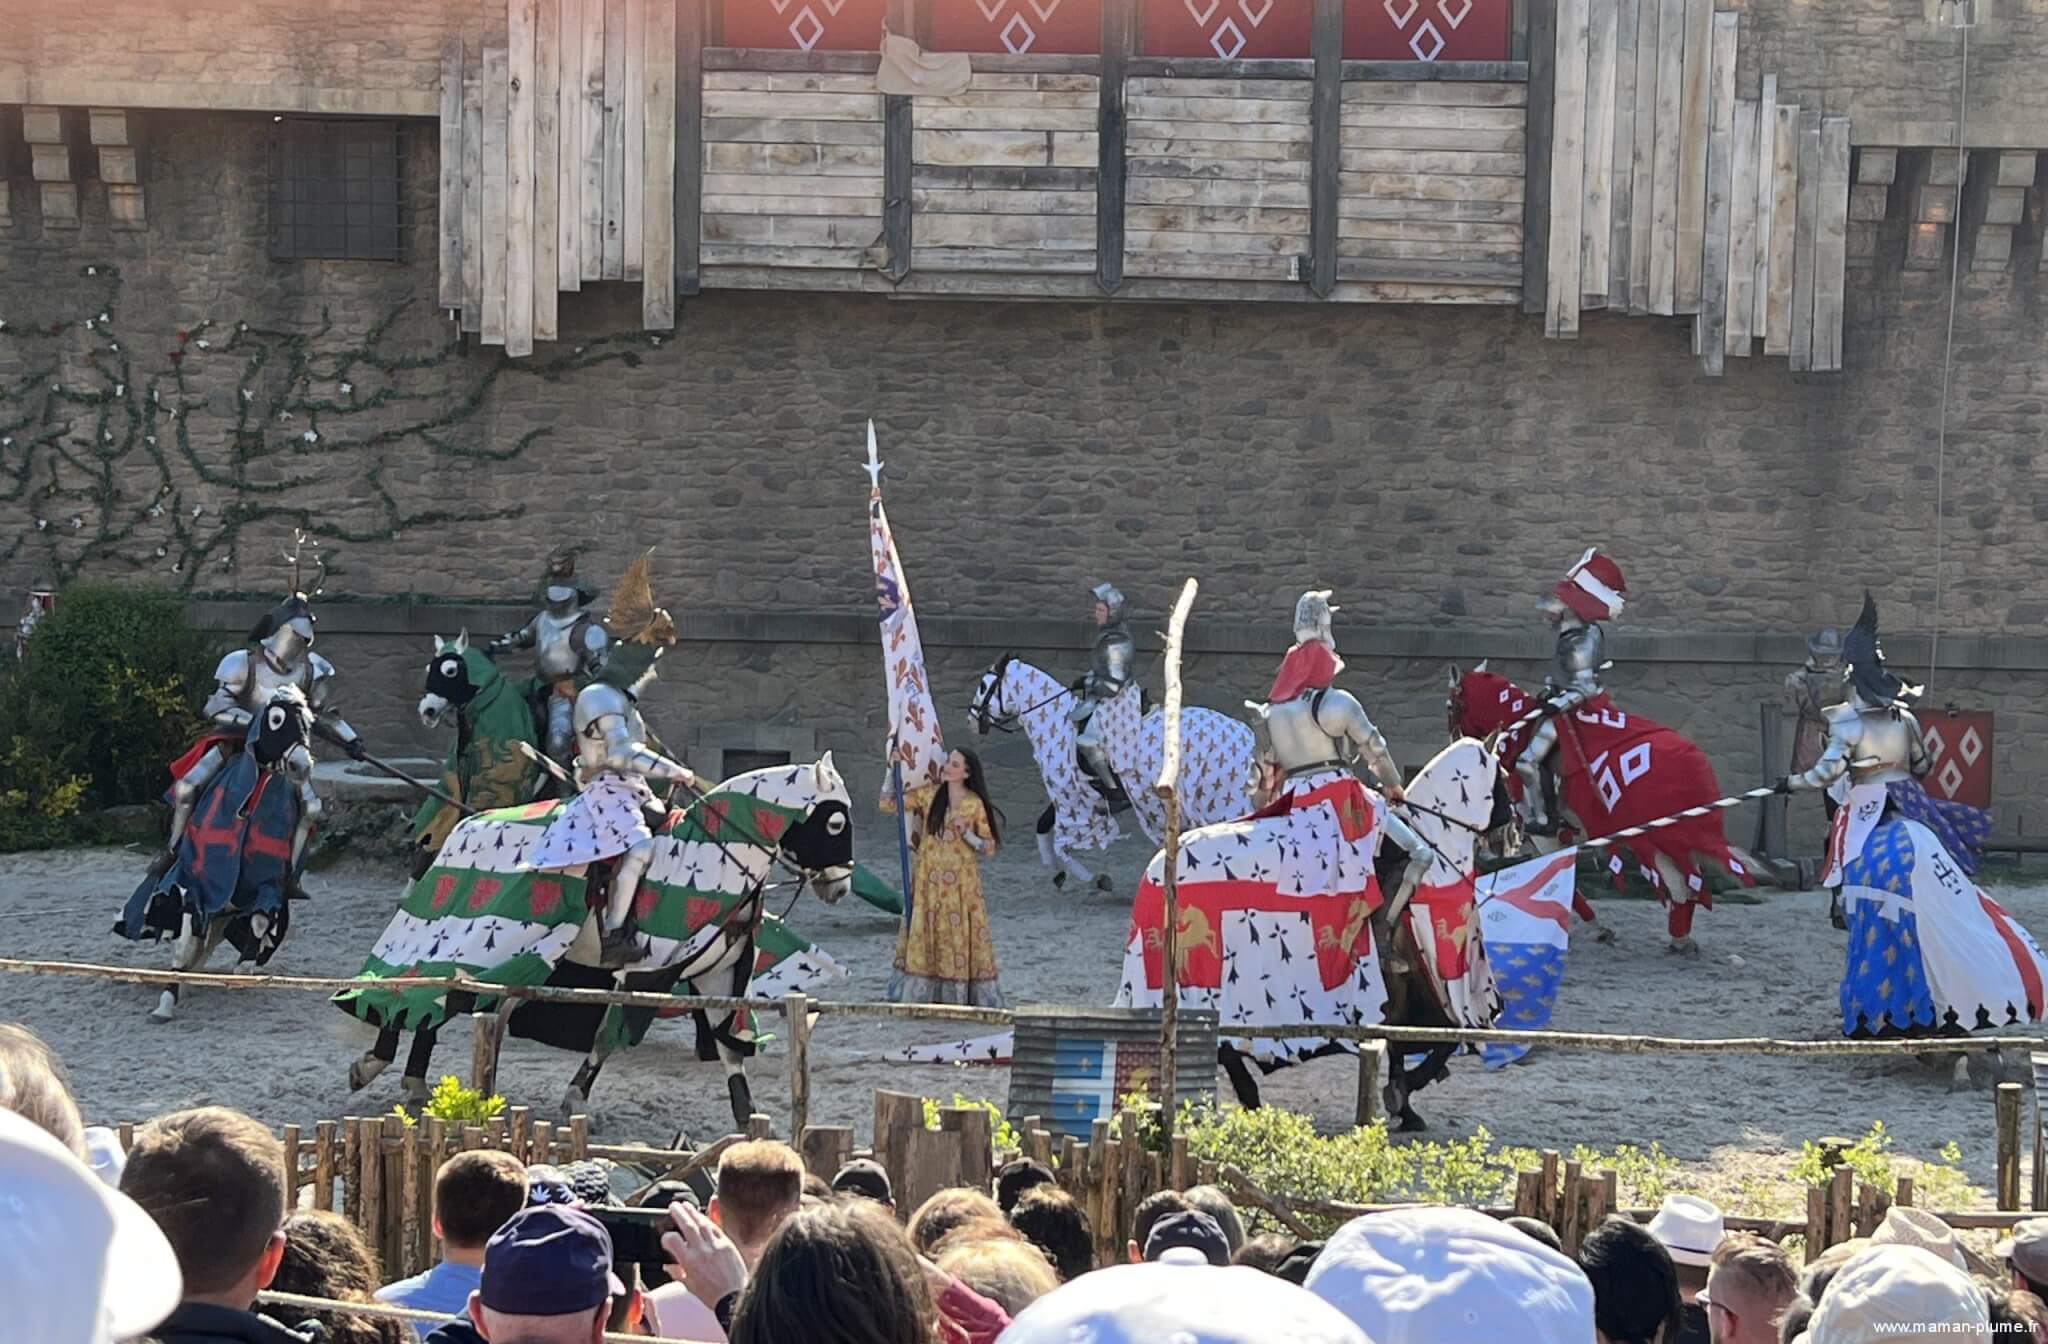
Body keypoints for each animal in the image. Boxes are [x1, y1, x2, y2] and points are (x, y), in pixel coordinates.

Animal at [116, 688, 313, 1024]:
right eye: (276, 719)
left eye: (308, 724)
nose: (302, 766)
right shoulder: (194, 886)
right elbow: (184, 944)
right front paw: (166, 1002)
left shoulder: (266, 889)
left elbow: (259, 924)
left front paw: (243, 967)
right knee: (186, 787)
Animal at [339, 753, 851, 1122]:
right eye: (835, 822)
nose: (840, 887)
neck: (716, 854)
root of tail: (467, 824)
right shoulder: (646, 975)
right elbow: (605, 1039)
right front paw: (574, 1098)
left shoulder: (718, 976)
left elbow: (728, 1049)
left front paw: (748, 1123)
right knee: (425, 987)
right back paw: (375, 1064)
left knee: (457, 1003)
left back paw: (424, 1082)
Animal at [1122, 741, 1507, 1130]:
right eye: (1503, 776)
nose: (1511, 825)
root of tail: (1156, 871)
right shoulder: (1430, 990)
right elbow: (1441, 1043)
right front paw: (1403, 1098)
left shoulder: (1406, 999)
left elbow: (1406, 1046)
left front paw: (1405, 1106)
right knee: (1226, 1051)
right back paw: (1251, 1104)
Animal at [1441, 667, 1761, 950]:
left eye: (1450, 705)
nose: (1456, 742)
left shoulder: (1545, 836)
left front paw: (1595, 927)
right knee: (1689, 882)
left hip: (1657, 836)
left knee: (1681, 884)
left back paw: (1679, 939)